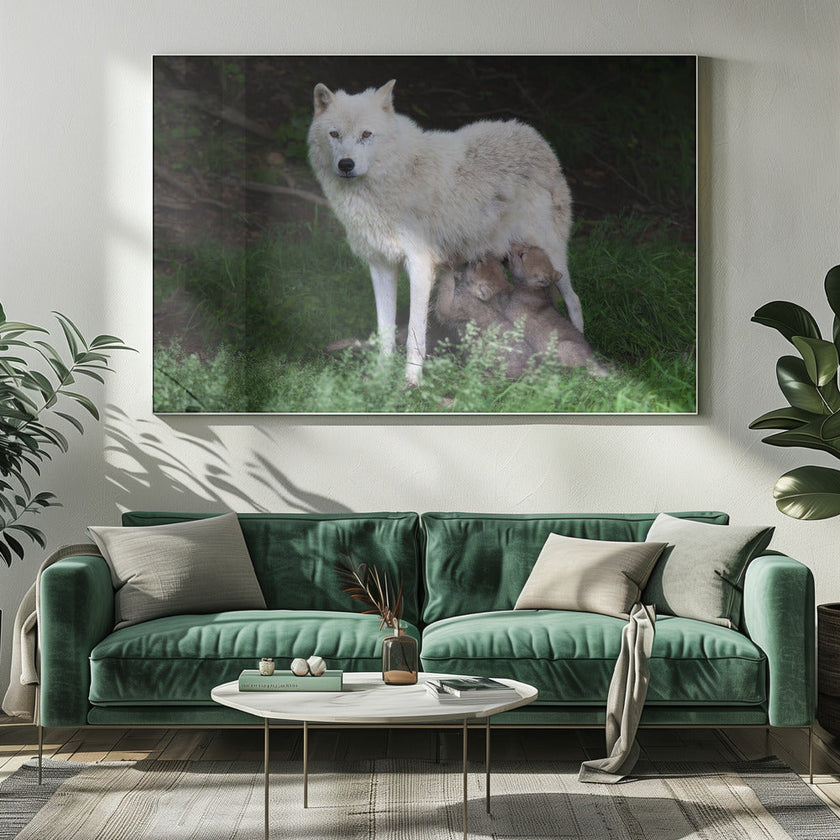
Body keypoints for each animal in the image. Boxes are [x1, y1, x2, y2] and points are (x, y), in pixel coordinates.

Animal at [307, 79, 580, 385]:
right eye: (334, 134)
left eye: (366, 134)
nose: (346, 164)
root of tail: (533, 135)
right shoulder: (381, 266)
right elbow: (385, 331)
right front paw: (381, 377)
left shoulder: (420, 266)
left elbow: (415, 334)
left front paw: (411, 382)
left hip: (553, 256)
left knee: (574, 300)